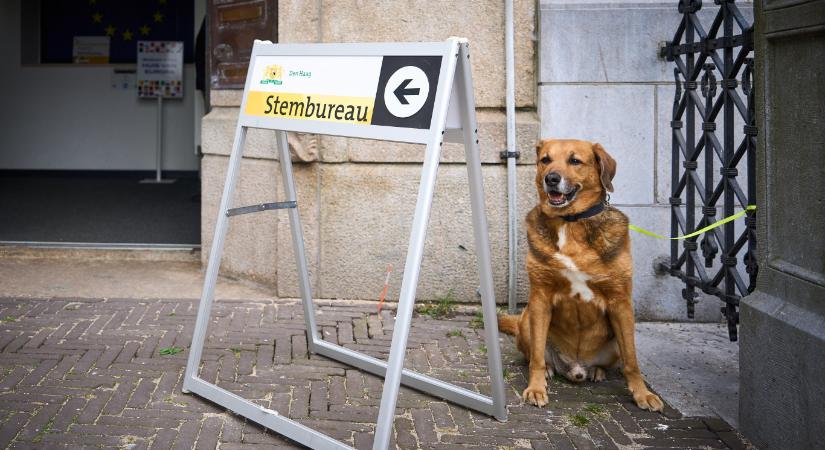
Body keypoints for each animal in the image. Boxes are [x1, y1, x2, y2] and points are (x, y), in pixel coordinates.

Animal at [496, 138, 664, 412]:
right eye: (545, 159)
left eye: (575, 160)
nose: (551, 178)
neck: (570, 222)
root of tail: (575, 368)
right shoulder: (540, 297)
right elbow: (536, 359)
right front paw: (536, 388)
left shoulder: (620, 302)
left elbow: (632, 360)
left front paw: (642, 394)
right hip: (528, 320)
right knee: (536, 355)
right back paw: (549, 370)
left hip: (615, 339)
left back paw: (597, 371)